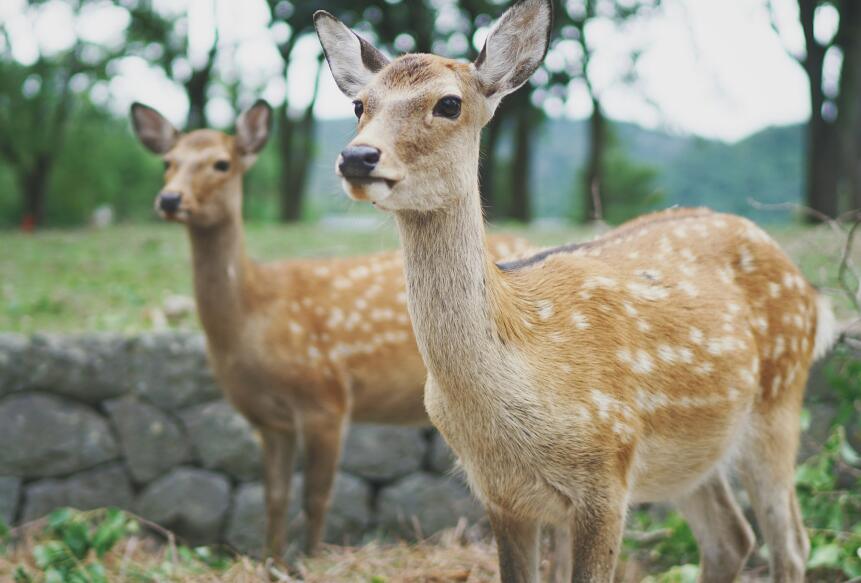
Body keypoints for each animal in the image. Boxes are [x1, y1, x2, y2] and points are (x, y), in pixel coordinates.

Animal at [127, 100, 532, 560]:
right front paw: (272, 563)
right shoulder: (270, 420)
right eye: (167, 162)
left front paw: (309, 562)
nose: (170, 198)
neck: (254, 316)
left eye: (221, 163)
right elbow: (274, 496)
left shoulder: (326, 397)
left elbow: (317, 497)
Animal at [318, 2, 840, 580]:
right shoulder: (500, 495)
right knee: (732, 537)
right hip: (690, 454)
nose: (357, 156)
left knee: (790, 541)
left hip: (778, 403)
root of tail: (812, 294)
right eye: (359, 104)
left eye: (449, 103)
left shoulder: (607, 473)